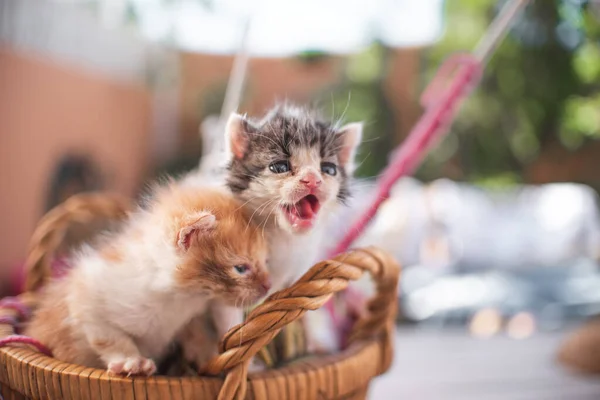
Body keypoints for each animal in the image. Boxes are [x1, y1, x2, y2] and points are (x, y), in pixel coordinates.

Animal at [25, 183, 270, 376]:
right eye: (240, 268)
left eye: (264, 261)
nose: (267, 286)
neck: (178, 298)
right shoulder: (86, 294)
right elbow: (110, 337)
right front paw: (131, 361)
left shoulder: (191, 316)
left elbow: (197, 334)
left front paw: (212, 356)